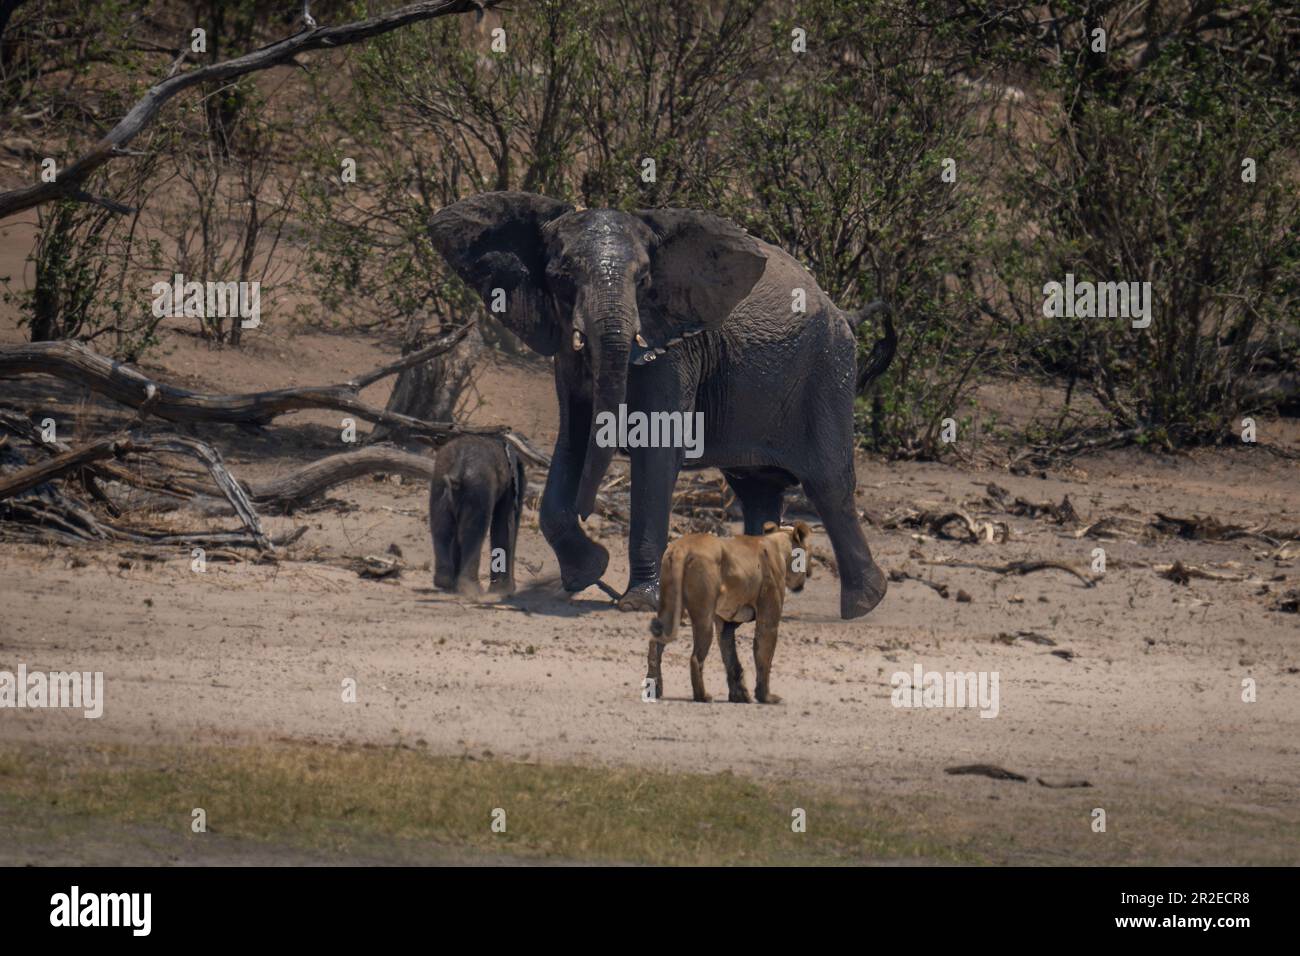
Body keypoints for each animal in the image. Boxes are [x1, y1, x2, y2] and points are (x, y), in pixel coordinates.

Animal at [428, 434, 526, 596]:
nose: (515, 589)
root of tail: (458, 466)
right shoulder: (506, 488)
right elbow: (503, 525)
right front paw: (502, 592)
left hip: (438, 482)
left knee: (442, 528)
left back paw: (446, 583)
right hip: (477, 489)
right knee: (473, 532)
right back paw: (474, 590)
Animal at [646, 521, 811, 704]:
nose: (809, 573)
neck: (780, 547)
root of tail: (682, 547)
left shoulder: (727, 623)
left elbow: (731, 659)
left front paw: (739, 695)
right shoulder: (769, 619)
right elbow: (764, 657)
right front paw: (766, 697)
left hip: (670, 608)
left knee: (655, 644)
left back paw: (655, 688)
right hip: (704, 615)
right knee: (695, 657)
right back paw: (702, 696)